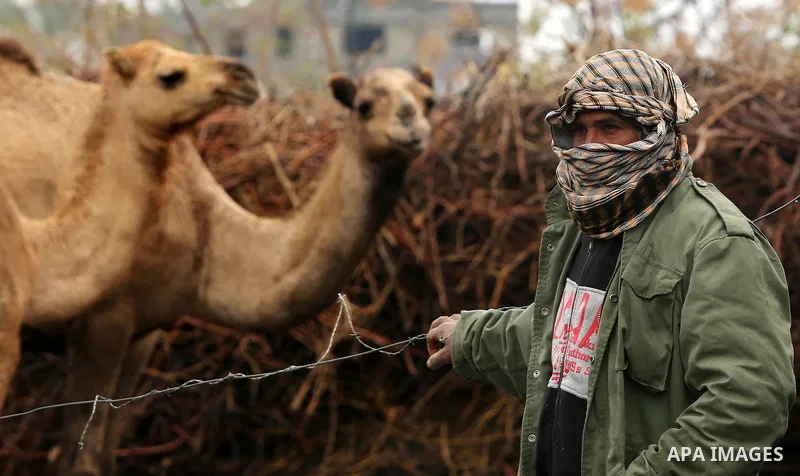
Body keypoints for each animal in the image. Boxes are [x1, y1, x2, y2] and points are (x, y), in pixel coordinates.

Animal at [0, 37, 436, 475]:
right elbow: (83, 457)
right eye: (364, 105)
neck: (207, 234)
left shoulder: (145, 329)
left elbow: (108, 449)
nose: (411, 127)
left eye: (428, 101)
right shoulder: (105, 319)